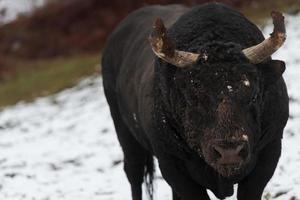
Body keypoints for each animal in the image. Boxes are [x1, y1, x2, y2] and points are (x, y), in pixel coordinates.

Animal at [102, 2, 288, 200]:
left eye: (254, 95)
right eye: (193, 97)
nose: (229, 152)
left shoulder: (270, 150)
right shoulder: (171, 165)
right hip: (125, 135)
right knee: (134, 174)